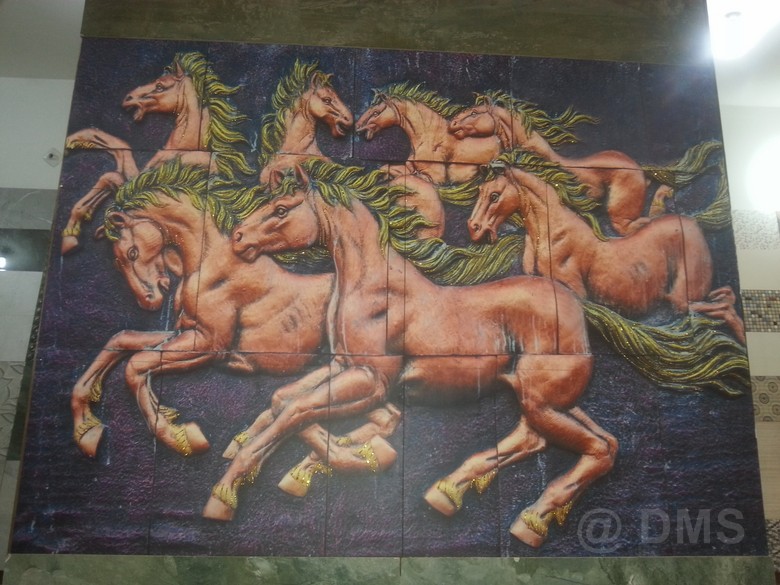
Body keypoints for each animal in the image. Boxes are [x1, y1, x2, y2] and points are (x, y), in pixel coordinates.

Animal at [62, 51, 254, 254]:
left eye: (160, 86)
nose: (128, 98)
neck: (186, 150)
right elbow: (116, 154)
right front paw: (73, 141)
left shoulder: (151, 185)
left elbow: (113, 176)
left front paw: (71, 235)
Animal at [72, 159, 403, 489]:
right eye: (116, 261)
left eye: (131, 252)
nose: (149, 300)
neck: (213, 262)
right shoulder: (187, 332)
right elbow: (121, 340)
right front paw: (87, 429)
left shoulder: (209, 345)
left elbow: (137, 364)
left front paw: (181, 436)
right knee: (380, 416)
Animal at [211, 159, 617, 549]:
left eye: (280, 209)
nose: (238, 238)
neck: (374, 287)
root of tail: (578, 305)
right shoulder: (345, 366)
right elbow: (286, 400)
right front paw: (340, 455)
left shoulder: (372, 378)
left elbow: (298, 410)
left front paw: (226, 491)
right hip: (545, 398)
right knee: (555, 440)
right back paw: (448, 491)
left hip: (542, 401)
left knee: (597, 448)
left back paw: (530, 519)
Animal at [468, 149, 745, 343]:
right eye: (480, 190)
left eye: (494, 195)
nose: (474, 228)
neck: (552, 234)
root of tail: (693, 220)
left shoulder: (576, 292)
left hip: (682, 299)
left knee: (723, 306)